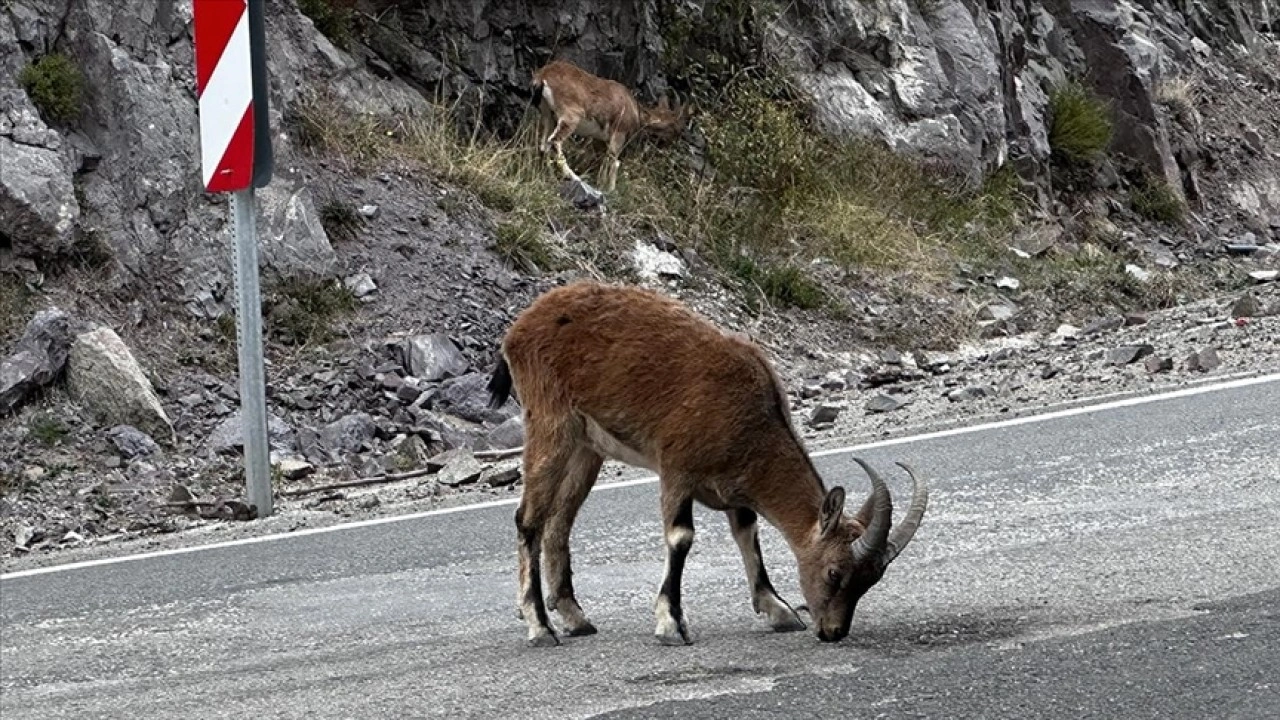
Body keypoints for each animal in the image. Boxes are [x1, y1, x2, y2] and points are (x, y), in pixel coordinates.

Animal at [483, 280, 926, 645]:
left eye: (871, 579)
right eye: (835, 572)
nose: (833, 631)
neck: (747, 416)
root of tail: (519, 328)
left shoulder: (735, 485)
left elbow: (747, 532)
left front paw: (778, 609)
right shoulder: (677, 469)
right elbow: (681, 537)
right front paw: (671, 623)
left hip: (587, 447)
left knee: (559, 522)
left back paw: (576, 618)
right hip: (550, 422)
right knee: (529, 519)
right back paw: (540, 627)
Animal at [529, 57, 691, 190]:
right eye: (677, 129)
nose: (671, 145)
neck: (634, 109)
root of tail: (543, 76)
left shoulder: (601, 139)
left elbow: (605, 160)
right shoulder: (618, 133)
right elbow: (614, 161)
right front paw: (611, 189)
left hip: (547, 115)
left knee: (544, 145)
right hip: (571, 116)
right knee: (555, 141)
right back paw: (575, 177)